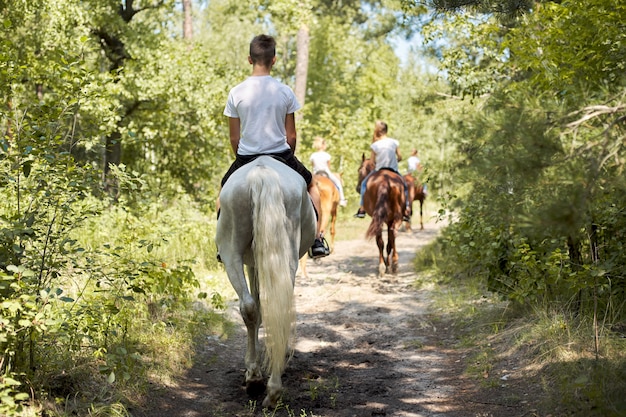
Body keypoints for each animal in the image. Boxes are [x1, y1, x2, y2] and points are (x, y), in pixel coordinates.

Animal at [214, 155, 314, 406]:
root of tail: (262, 174)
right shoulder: (255, 264)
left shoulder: (252, 263)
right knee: (275, 306)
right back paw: (270, 386)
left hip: (231, 254)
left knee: (250, 307)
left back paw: (258, 380)